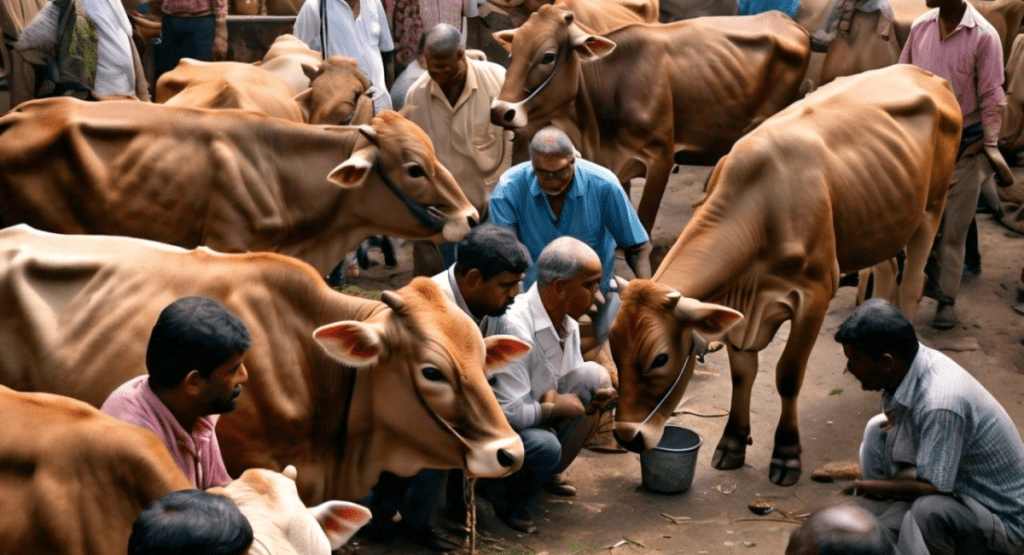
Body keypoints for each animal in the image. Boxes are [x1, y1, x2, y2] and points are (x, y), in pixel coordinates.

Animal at [489, 7, 810, 232]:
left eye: (548, 56)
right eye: (512, 52)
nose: (500, 111)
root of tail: (785, 19)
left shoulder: (660, 159)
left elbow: (642, 224)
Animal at [609, 65, 961, 486]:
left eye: (660, 358)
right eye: (613, 347)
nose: (626, 436)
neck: (760, 208)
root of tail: (925, 74)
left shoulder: (815, 294)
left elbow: (788, 375)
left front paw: (787, 455)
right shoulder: (740, 309)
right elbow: (743, 373)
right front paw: (732, 442)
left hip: (932, 209)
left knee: (910, 285)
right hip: (882, 221)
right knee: (887, 269)